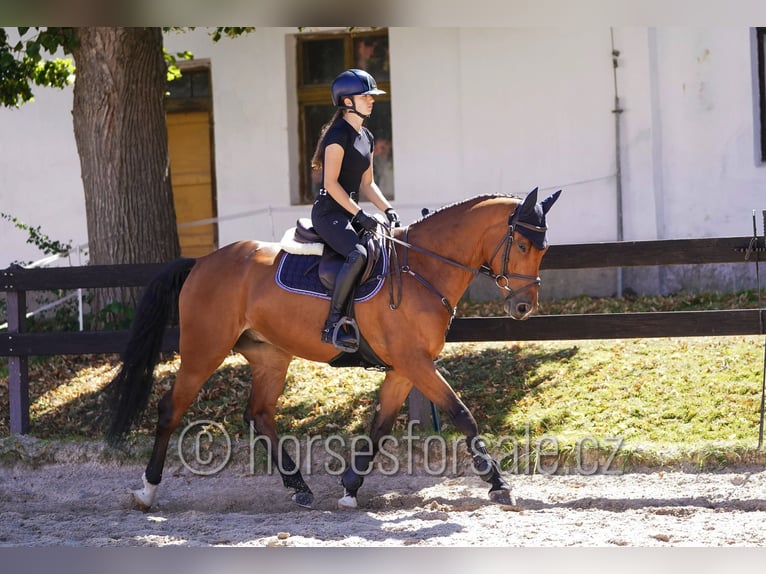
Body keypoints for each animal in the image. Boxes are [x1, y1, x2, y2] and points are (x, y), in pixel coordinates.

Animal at [104, 187, 561, 510]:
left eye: (544, 249)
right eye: (523, 246)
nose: (524, 307)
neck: (422, 267)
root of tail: (201, 263)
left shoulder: (404, 368)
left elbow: (379, 426)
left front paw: (350, 488)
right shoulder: (415, 363)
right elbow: (461, 414)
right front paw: (499, 484)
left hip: (271, 356)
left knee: (259, 414)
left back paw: (299, 487)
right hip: (204, 351)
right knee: (171, 409)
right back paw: (147, 492)